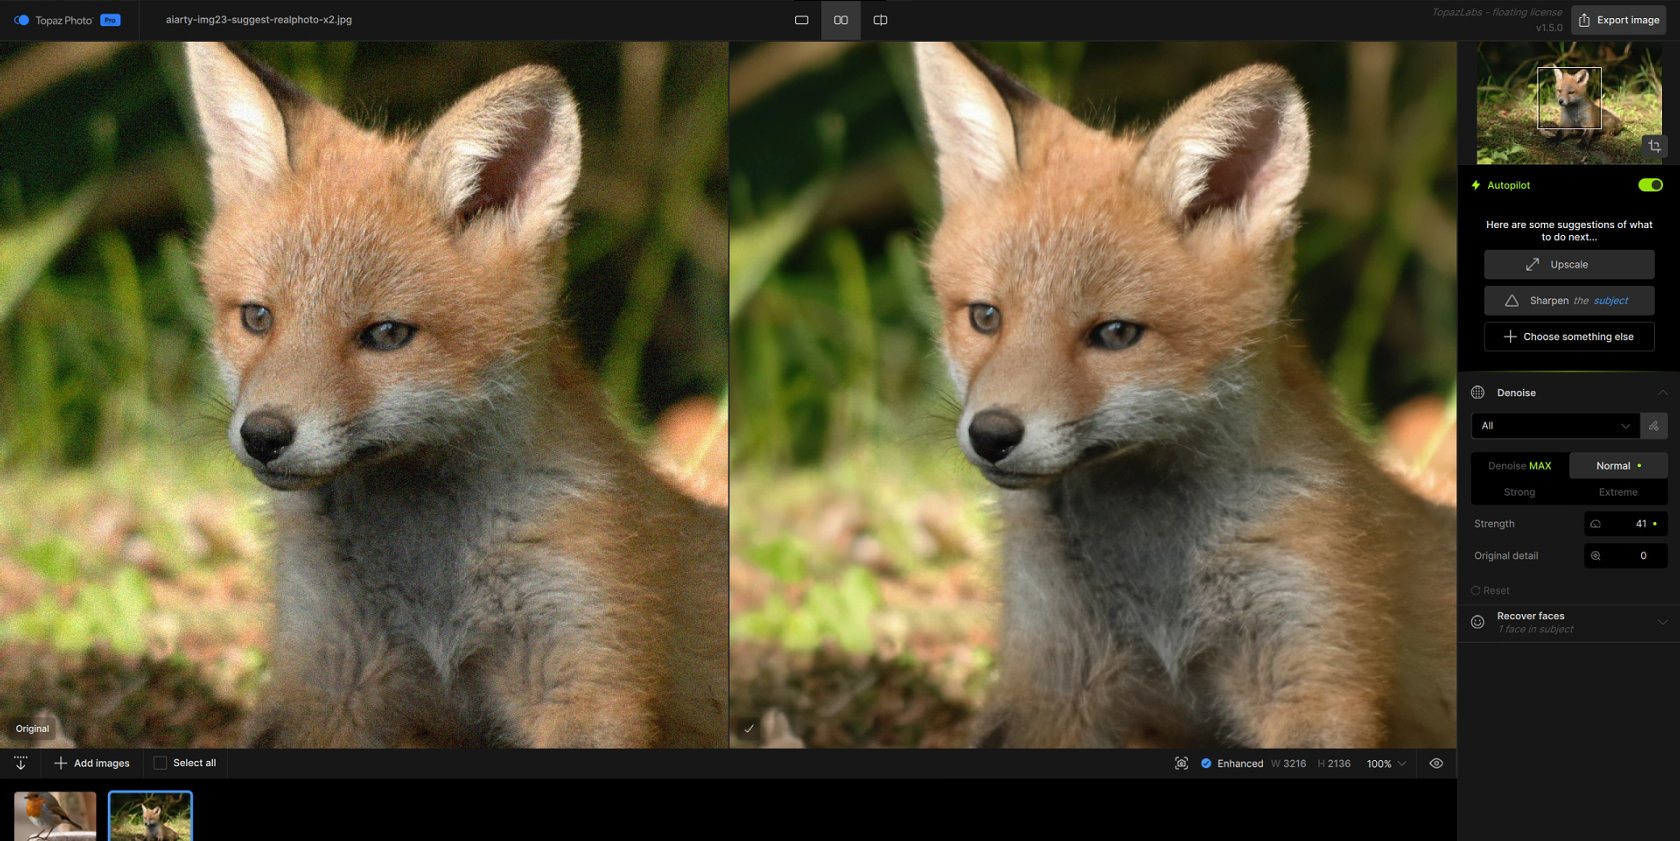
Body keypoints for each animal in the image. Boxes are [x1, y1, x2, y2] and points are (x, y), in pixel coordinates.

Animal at [184, 43, 726, 747]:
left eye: (386, 334)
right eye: (257, 318)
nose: (264, 435)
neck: (431, 587)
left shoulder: (584, 669)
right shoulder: (327, 677)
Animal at [913, 43, 1455, 749]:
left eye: (1115, 333)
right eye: (985, 317)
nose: (993, 434)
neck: (1157, 589)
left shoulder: (1315, 672)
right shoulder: (1053, 681)